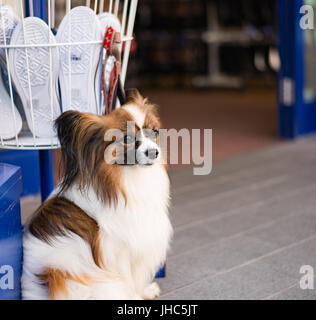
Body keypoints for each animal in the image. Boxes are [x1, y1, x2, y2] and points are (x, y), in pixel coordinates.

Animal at [21, 90, 173, 300]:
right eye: (126, 139)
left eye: (155, 132)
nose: (153, 152)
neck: (128, 176)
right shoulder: (119, 249)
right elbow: (128, 278)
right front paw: (134, 297)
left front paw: (145, 291)